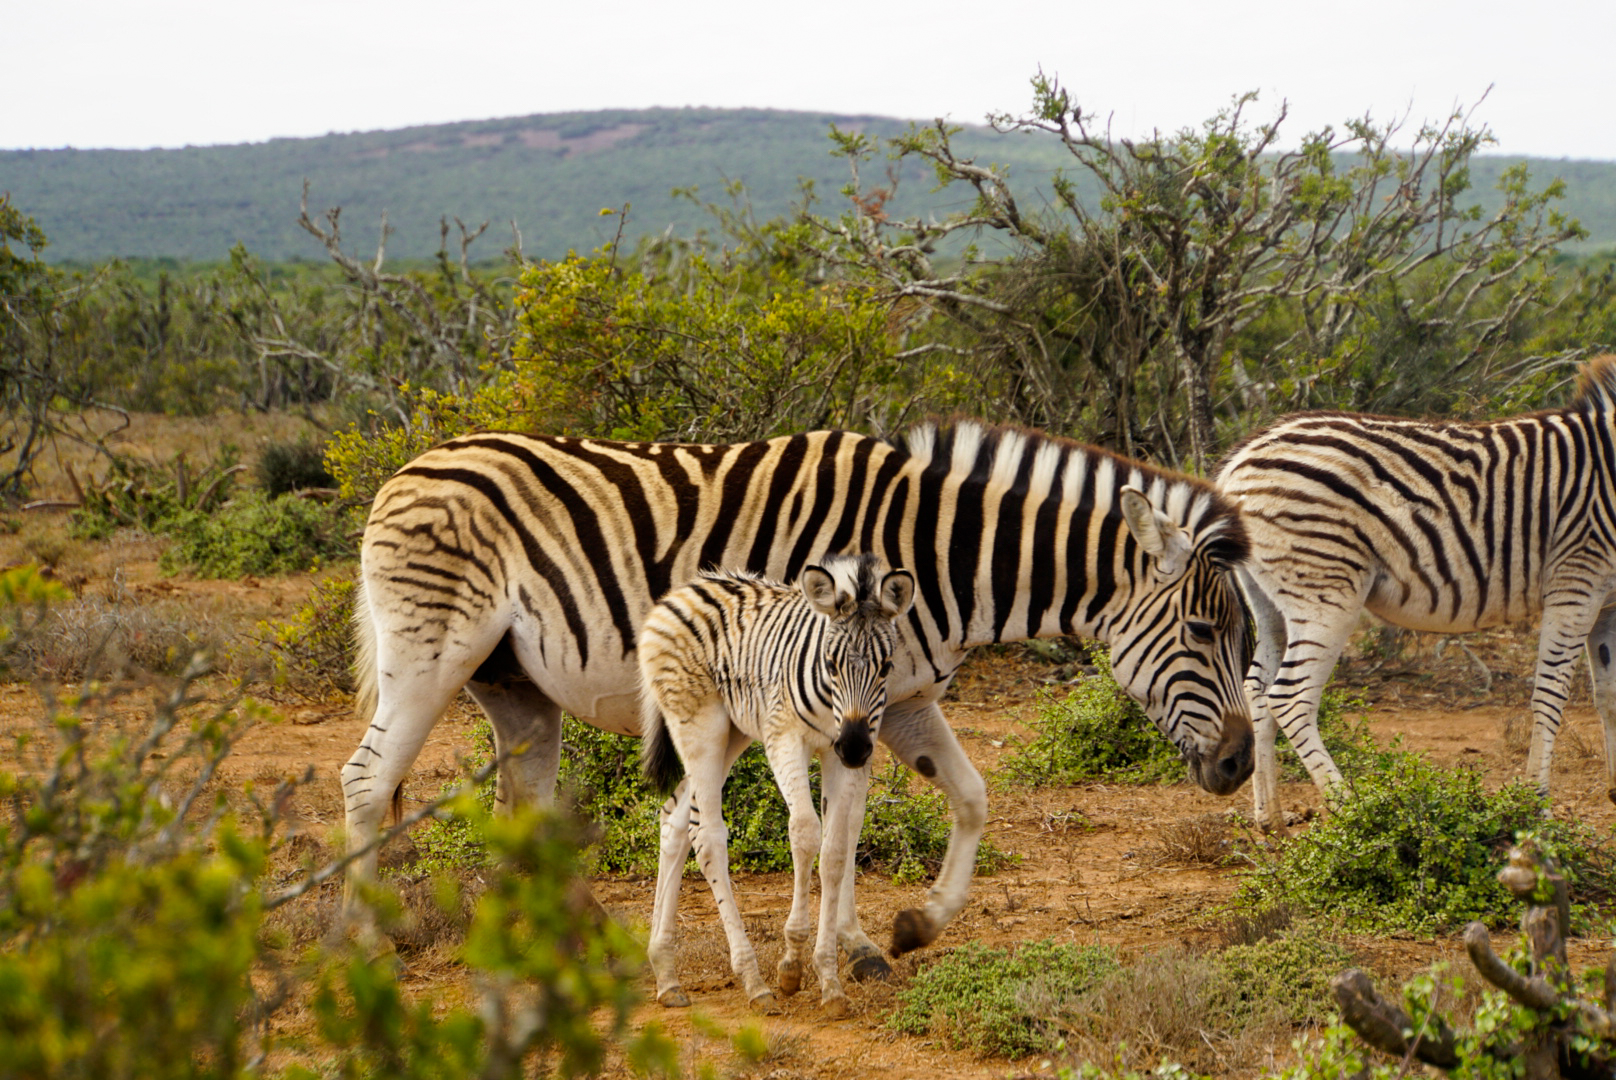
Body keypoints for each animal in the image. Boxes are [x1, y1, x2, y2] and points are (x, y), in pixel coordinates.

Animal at [344, 417, 1260, 963]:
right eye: (1203, 633)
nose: (1241, 766)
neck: (935, 555)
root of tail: (409, 467)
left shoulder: (904, 699)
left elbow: (960, 800)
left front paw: (904, 926)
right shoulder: (842, 699)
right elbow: (838, 831)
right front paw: (836, 946)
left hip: (514, 683)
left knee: (520, 801)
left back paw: (562, 942)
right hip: (431, 652)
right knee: (367, 781)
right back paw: (362, 940)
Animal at [633, 552, 917, 1015]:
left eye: (886, 667)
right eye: (831, 664)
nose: (856, 748)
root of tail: (685, 589)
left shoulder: (840, 756)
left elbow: (835, 852)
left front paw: (829, 980)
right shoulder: (785, 738)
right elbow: (804, 833)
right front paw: (791, 964)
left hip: (732, 732)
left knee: (674, 819)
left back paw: (666, 975)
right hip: (700, 726)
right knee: (707, 835)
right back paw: (753, 982)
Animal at [1215, 354, 1616, 827]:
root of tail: (1239, 459)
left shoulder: (1609, 601)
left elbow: (1609, 693)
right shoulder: (1576, 577)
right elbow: (1551, 693)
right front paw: (1536, 804)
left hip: (1270, 601)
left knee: (1256, 690)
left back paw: (1270, 817)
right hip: (1326, 591)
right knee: (1291, 698)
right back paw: (1356, 811)